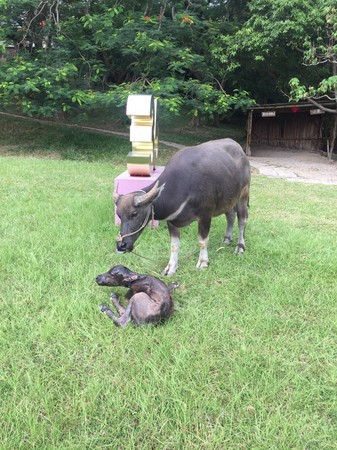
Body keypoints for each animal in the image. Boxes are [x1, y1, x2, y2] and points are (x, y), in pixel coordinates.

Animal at [113, 139, 249, 276]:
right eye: (119, 215)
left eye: (134, 213)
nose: (121, 245)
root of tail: (240, 150)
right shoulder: (171, 220)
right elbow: (174, 245)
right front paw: (171, 267)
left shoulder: (205, 215)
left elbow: (202, 240)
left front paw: (203, 262)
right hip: (229, 199)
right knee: (230, 216)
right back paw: (226, 239)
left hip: (243, 194)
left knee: (242, 220)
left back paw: (240, 247)